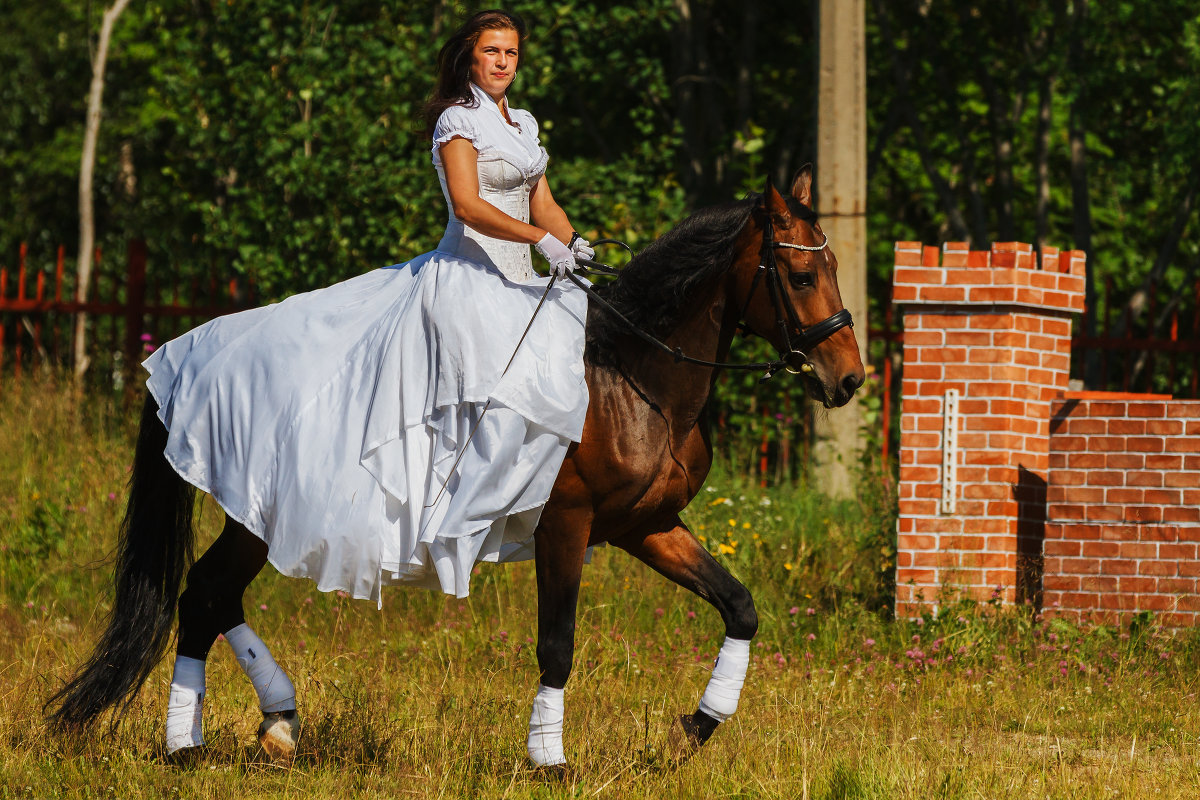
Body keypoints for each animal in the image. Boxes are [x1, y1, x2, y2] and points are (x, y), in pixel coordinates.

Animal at [42, 167, 859, 767]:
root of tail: (189, 348)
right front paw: (549, 761)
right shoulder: (567, 524)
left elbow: (739, 605)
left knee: (211, 593)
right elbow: (557, 642)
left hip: (258, 517)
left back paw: (272, 725)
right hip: (261, 511)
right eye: (798, 276)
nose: (847, 379)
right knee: (204, 594)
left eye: (833, 265)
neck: (632, 378)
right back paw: (189, 743)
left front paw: (694, 729)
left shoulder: (646, 524)